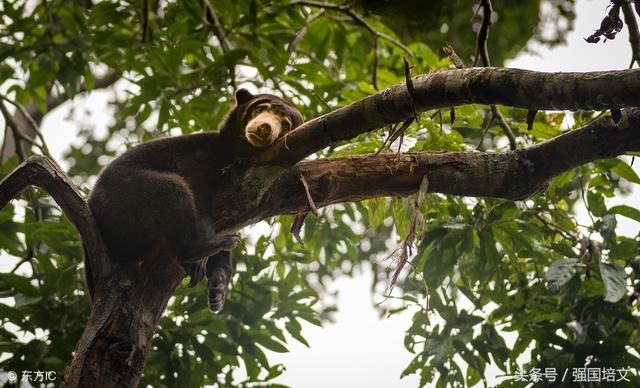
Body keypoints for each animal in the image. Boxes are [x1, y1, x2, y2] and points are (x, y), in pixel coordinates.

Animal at [87, 88, 304, 312]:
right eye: (260, 109)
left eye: (286, 125)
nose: (264, 127)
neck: (235, 154)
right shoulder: (199, 159)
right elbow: (199, 201)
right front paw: (202, 261)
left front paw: (219, 286)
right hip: (123, 195)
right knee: (173, 189)